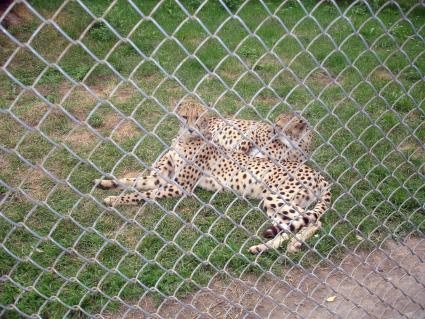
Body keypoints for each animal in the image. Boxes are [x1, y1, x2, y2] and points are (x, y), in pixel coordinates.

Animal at [94, 104, 330, 254]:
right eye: (184, 116)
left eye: (197, 118)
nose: (190, 128)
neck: (186, 139)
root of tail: (318, 174)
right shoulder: (161, 178)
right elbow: (133, 181)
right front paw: (105, 184)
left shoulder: (179, 187)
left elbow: (140, 194)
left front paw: (113, 200)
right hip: (272, 205)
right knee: (290, 227)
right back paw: (263, 248)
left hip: (276, 197)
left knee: (314, 221)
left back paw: (291, 246)